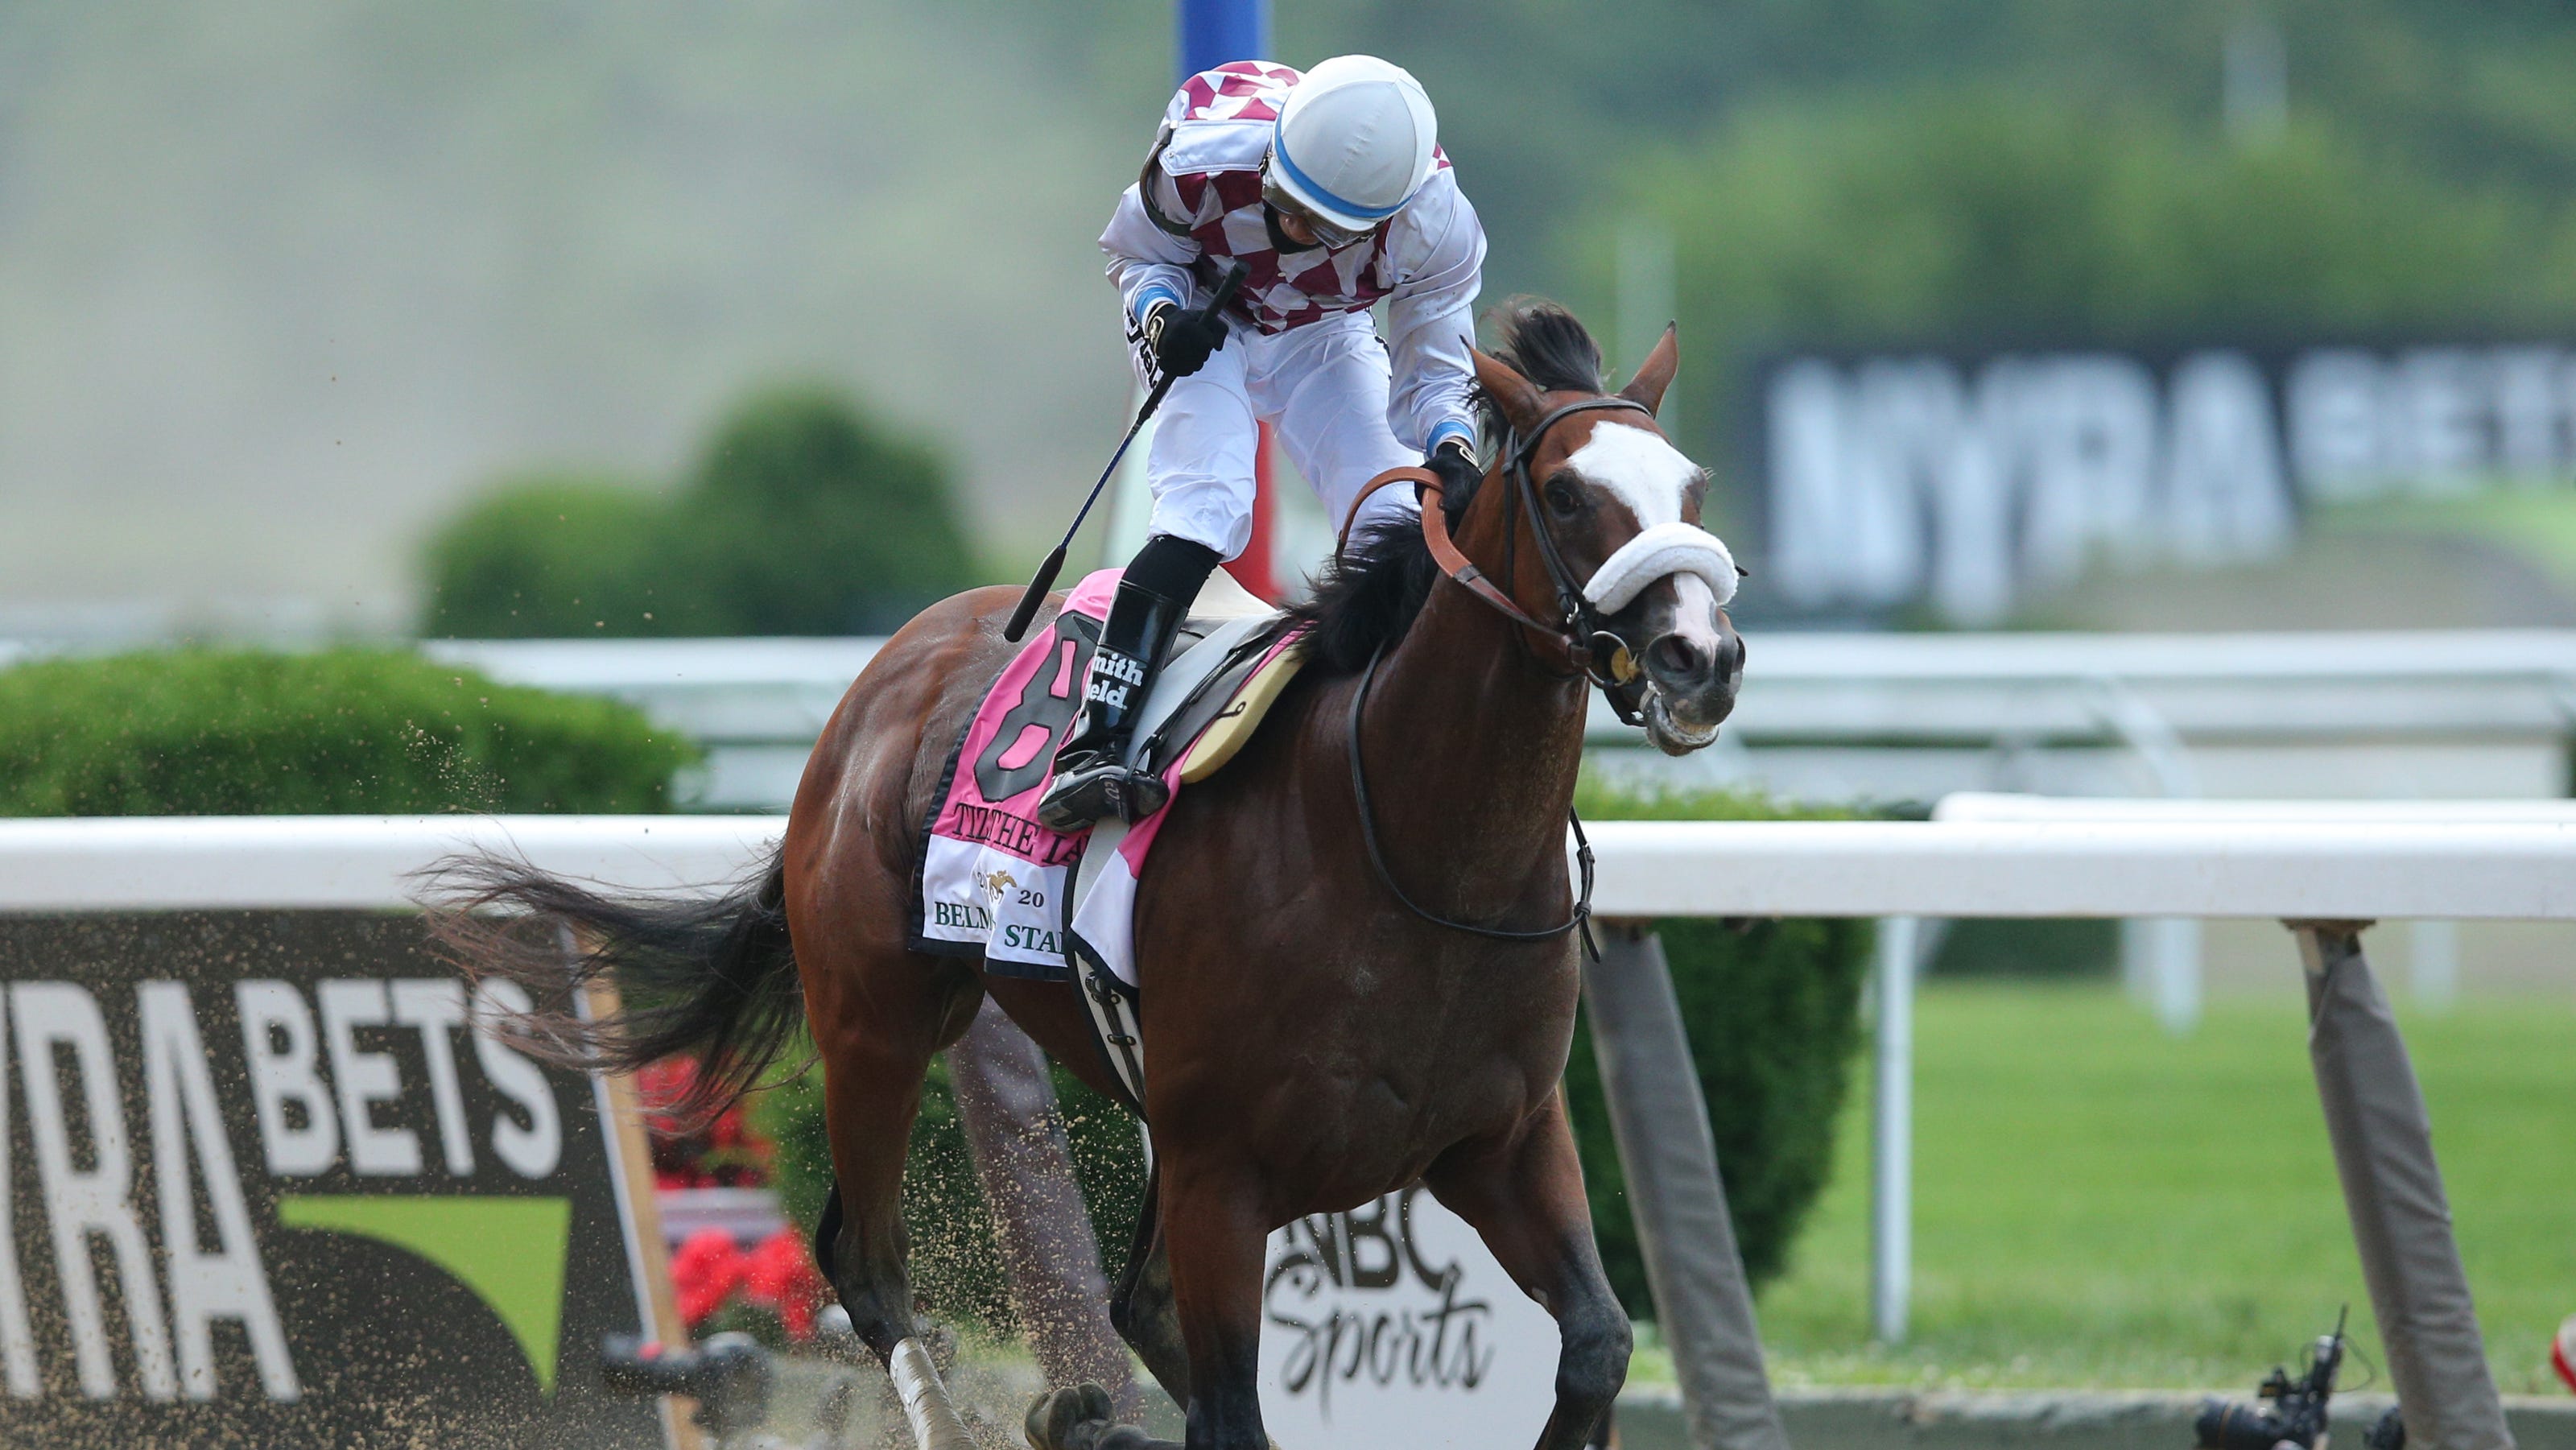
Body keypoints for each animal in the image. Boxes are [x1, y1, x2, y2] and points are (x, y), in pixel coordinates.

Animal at [429, 300, 1744, 1450]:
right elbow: (1229, 1412)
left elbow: (1597, 1345)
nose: (1702, 658)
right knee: (869, 1263)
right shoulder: (1221, 1170)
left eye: (1691, 487)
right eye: (1568, 492)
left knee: (1118, 1303)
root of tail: (882, 677)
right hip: (877, 1021)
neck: (1414, 854)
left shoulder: (1502, 1139)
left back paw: (1088, 1417)